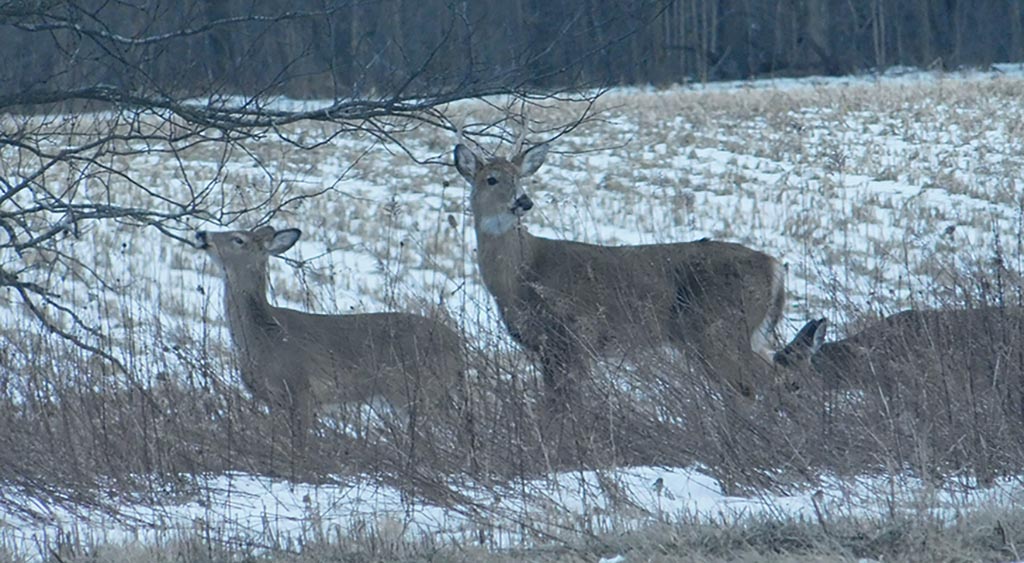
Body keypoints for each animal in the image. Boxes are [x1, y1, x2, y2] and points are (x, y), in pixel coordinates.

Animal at [194, 225, 465, 445]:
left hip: (422, 390)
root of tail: (459, 345)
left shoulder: (301, 387)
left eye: (238, 239)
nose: (201, 234)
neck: (264, 336)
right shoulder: (274, 399)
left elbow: (300, 442)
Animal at [453, 142, 787, 407]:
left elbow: (563, 407)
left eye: (520, 177)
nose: (523, 201)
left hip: (717, 329)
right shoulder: (550, 348)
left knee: (747, 387)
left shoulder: (574, 335)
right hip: (744, 334)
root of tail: (773, 266)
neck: (521, 275)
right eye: (491, 179)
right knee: (778, 373)